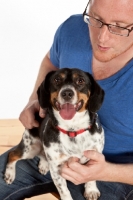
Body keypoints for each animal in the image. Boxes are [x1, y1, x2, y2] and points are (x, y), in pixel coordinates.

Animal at [3, 68, 104, 199]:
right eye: (57, 79)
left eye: (80, 80)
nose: (67, 93)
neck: (72, 130)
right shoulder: (56, 168)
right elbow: (64, 190)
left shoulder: (94, 156)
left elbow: (92, 176)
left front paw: (91, 190)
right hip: (30, 148)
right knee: (12, 154)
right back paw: (10, 174)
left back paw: (43, 165)